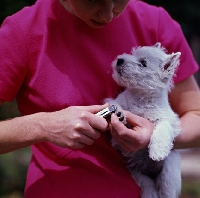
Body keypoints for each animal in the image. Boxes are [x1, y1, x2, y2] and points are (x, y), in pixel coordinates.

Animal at [107, 43, 182, 198]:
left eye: (143, 63)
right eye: (132, 53)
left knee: (165, 189)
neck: (140, 97)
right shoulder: (113, 101)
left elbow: (163, 128)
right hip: (135, 171)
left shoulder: (168, 119)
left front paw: (157, 152)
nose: (120, 60)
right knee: (147, 184)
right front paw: (119, 113)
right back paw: (150, 193)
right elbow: (115, 105)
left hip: (170, 168)